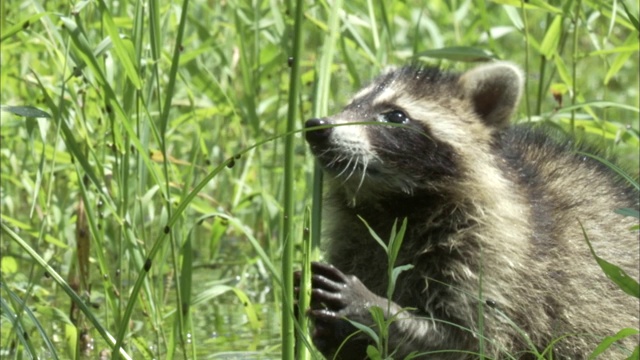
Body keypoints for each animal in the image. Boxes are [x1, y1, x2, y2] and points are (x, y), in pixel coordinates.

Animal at [300, 62, 640, 360]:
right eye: (351, 104)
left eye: (396, 116)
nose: (316, 126)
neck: (393, 205)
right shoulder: (356, 237)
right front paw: (337, 334)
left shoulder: (501, 253)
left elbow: (470, 341)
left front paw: (375, 308)